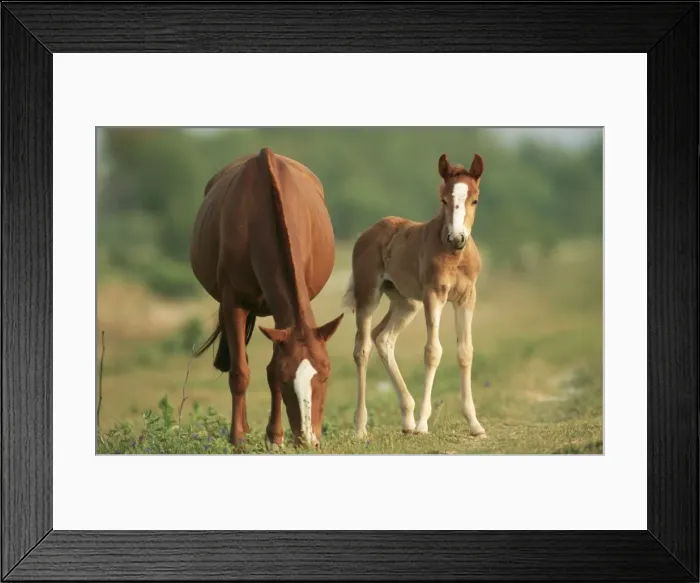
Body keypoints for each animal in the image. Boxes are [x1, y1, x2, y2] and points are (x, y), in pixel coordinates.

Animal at [189, 147, 344, 450]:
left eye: (326, 375)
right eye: (288, 381)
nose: (307, 440)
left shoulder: (282, 311)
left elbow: (269, 369)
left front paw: (274, 438)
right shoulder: (233, 302)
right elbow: (241, 372)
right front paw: (238, 440)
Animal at [342, 152, 487, 439]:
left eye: (474, 199)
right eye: (444, 199)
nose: (457, 238)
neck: (454, 256)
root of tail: (367, 233)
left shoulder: (467, 298)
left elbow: (465, 351)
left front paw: (475, 424)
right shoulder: (434, 295)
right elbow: (432, 351)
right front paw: (423, 424)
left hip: (405, 303)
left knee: (383, 337)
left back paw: (406, 418)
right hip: (368, 295)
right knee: (361, 349)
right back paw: (362, 428)